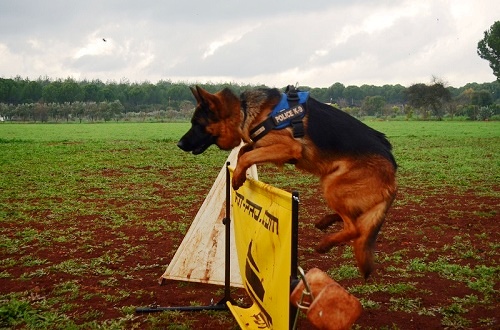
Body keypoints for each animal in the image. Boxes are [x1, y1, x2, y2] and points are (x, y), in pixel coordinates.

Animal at [178, 85, 396, 278]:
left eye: (196, 124)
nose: (179, 144)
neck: (243, 110)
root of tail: (392, 174)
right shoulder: (262, 145)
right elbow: (245, 150)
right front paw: (240, 170)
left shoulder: (289, 147)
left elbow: (247, 155)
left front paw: (238, 177)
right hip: (332, 182)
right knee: (353, 217)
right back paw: (325, 222)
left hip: (332, 184)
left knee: (354, 228)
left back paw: (325, 244)